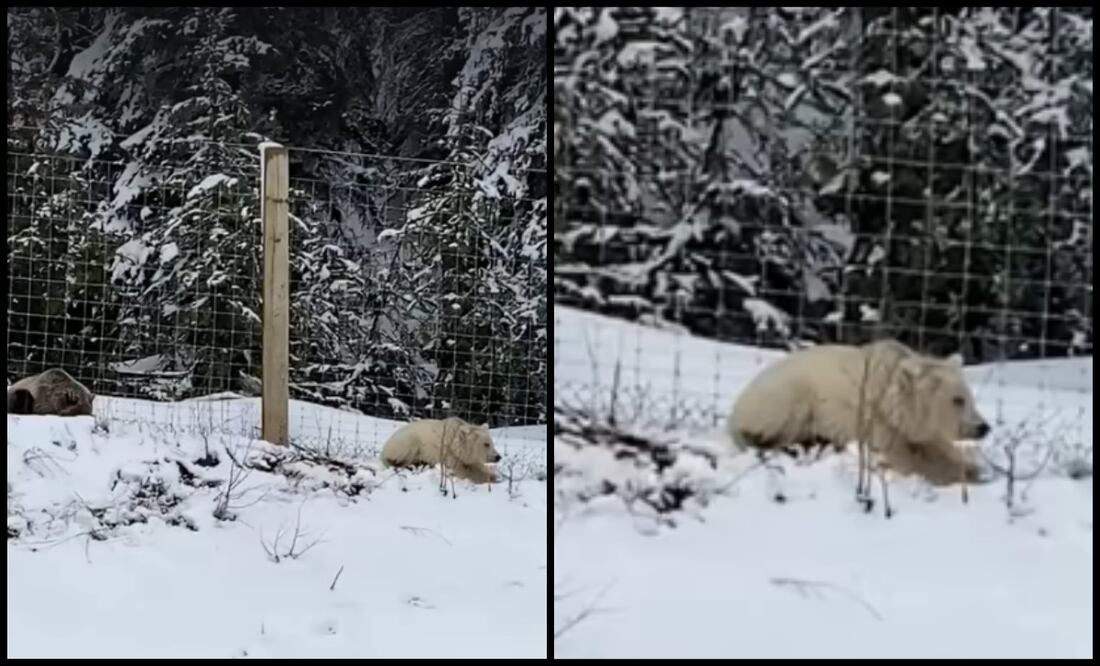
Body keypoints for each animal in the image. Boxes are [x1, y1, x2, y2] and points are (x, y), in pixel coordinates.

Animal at [730, 341, 990, 486]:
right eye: (957, 400)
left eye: (970, 396)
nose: (983, 427)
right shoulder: (875, 421)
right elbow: (905, 460)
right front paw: (953, 474)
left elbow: (935, 447)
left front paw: (972, 467)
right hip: (788, 396)